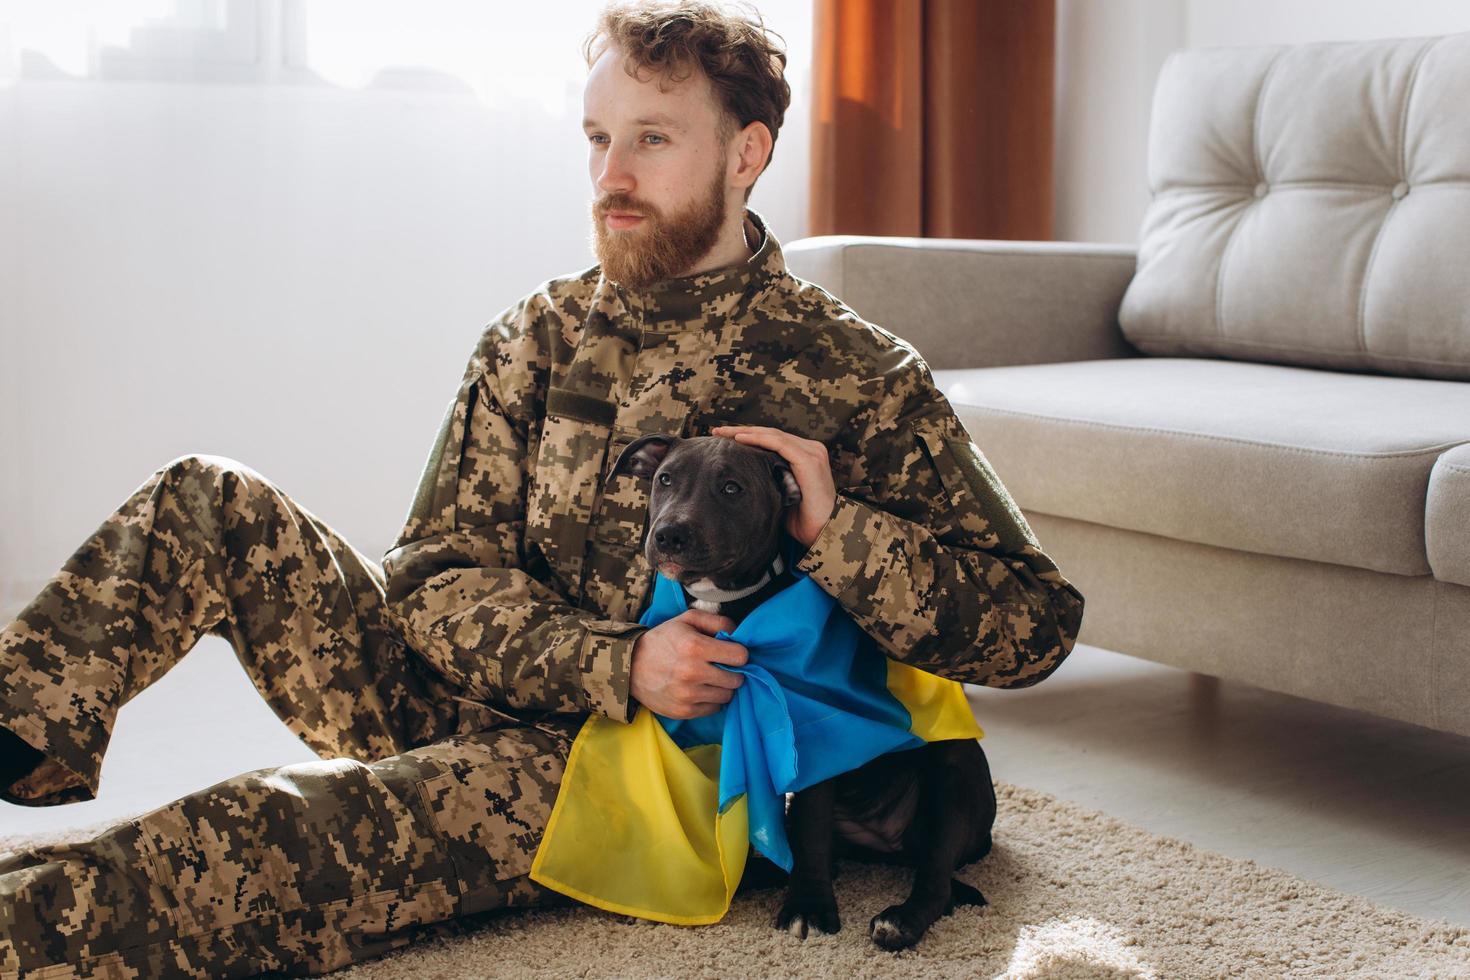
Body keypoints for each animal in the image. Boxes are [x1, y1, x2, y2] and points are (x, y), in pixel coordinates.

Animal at [608, 431, 999, 952]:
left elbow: (810, 830)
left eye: (731, 488)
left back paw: (899, 920)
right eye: (664, 479)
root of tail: (886, 846)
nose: (670, 535)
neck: (724, 602)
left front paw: (808, 908)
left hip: (953, 770)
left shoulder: (808, 738)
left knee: (934, 880)